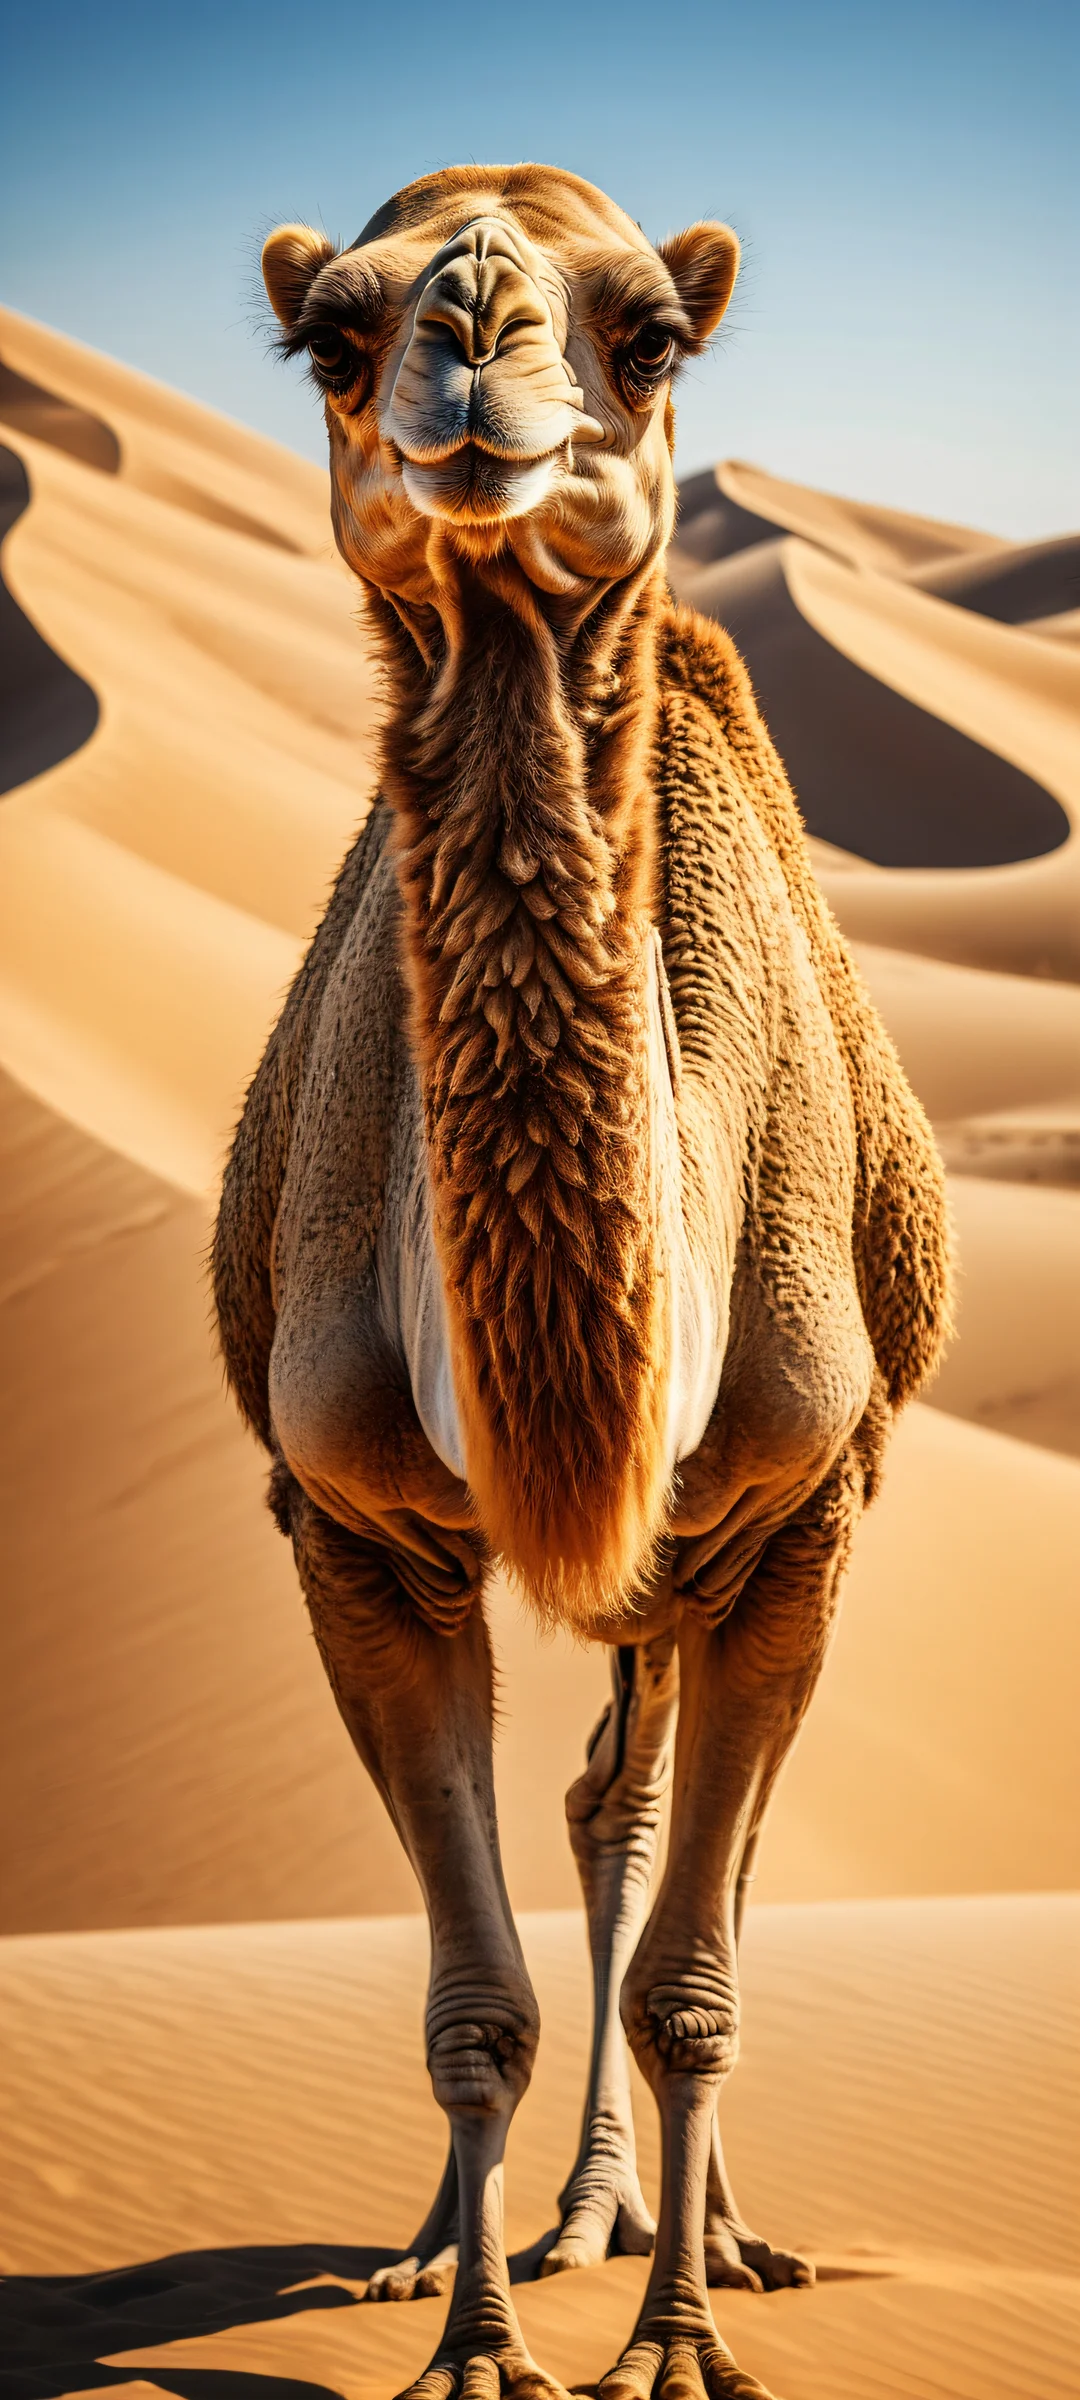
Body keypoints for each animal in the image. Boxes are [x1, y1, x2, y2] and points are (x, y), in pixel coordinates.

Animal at [213, 165, 951, 2400]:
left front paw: (681, 2349)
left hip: (716, 1574)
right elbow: (477, 2006)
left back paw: (704, 2237)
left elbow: (697, 1977)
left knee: (665, 1842)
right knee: (596, 1816)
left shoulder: (804, 1507)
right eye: (333, 335)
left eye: (654, 334)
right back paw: (513, 2233)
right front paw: (470, 2344)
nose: (474, 333)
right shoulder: (351, 1526)